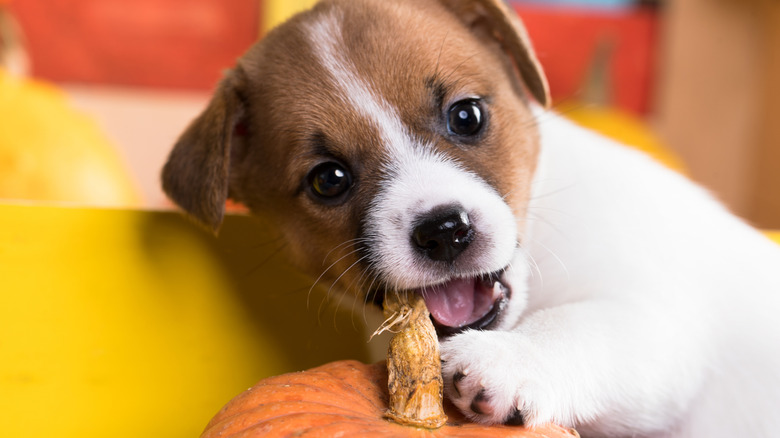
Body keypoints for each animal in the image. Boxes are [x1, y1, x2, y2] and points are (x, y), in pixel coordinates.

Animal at [158, 1, 780, 436]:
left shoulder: (657, 320)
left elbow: (583, 324)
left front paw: (508, 360)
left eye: (467, 116)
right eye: (328, 179)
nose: (444, 231)